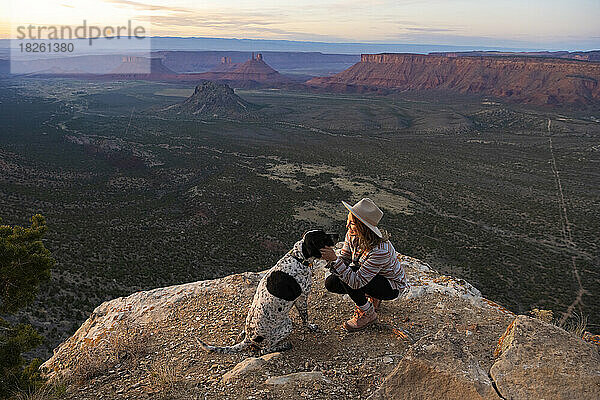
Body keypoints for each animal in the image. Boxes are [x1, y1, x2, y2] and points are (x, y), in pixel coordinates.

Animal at [198, 230, 336, 354]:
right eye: (323, 237)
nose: (337, 235)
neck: (298, 258)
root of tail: (249, 339)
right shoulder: (302, 299)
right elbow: (305, 317)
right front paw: (310, 326)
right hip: (286, 327)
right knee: (265, 349)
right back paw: (283, 346)